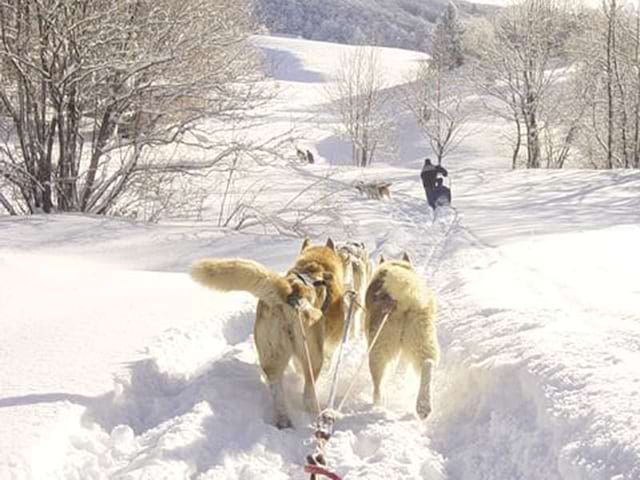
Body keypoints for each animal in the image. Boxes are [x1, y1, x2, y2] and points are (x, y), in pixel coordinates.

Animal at [190, 238, 344, 430]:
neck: (316, 264)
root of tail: (290, 294)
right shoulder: (330, 342)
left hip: (272, 356)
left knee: (277, 390)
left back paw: (283, 420)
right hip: (313, 356)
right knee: (308, 392)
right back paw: (315, 413)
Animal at [364, 253, 440, 418]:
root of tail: (404, 299)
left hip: (378, 348)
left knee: (378, 383)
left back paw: (378, 404)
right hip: (422, 338)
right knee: (427, 363)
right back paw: (423, 406)